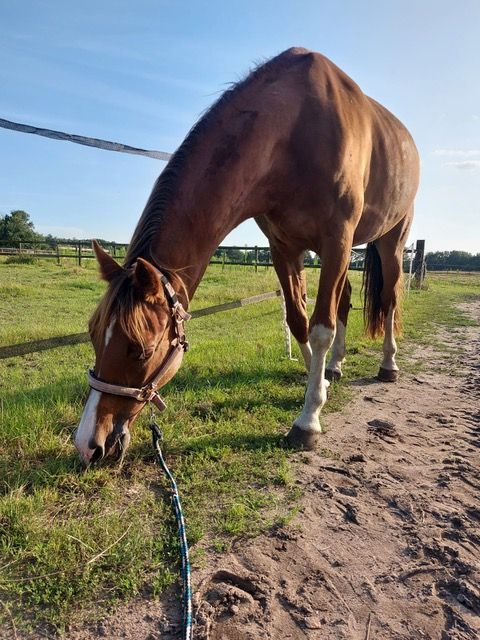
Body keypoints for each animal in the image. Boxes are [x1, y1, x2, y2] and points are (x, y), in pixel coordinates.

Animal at [74, 47, 419, 466]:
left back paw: (388, 364)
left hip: (390, 240)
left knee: (388, 299)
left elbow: (320, 328)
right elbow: (299, 321)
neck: (294, 129)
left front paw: (308, 420)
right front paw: (318, 383)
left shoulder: (336, 239)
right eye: (94, 335)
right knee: (346, 299)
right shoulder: (285, 247)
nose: (89, 444)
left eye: (140, 350)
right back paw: (336, 366)